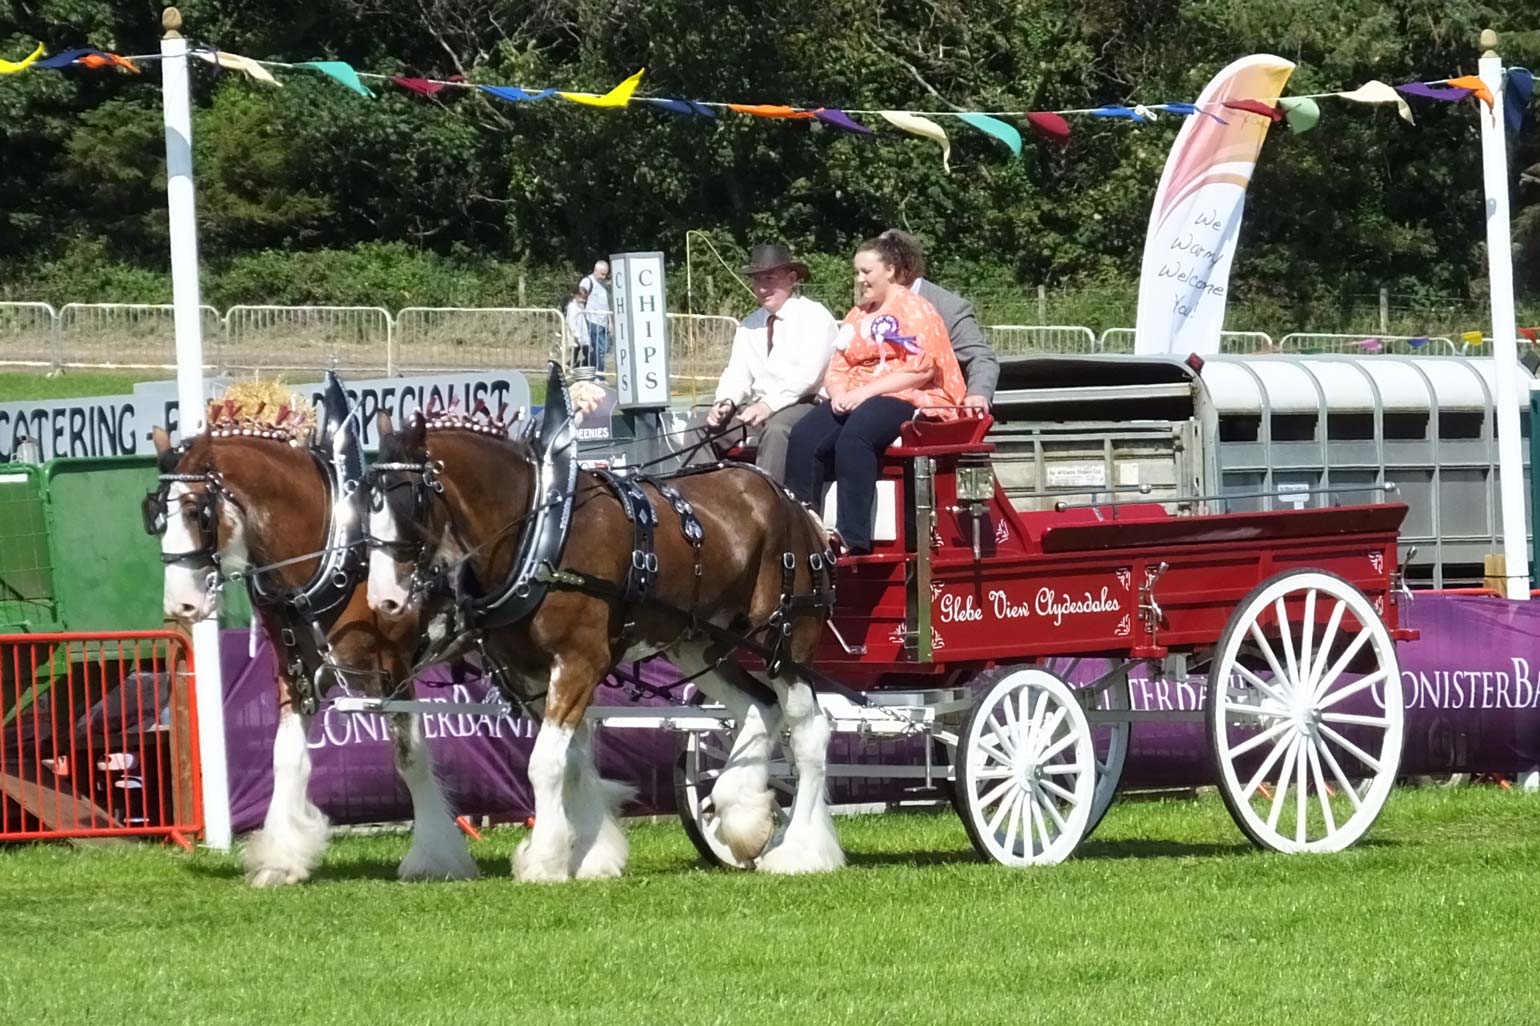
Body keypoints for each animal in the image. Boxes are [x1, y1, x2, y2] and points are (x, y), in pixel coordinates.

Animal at [150, 419, 477, 881]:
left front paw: (434, 857)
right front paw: (280, 859)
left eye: (197, 512)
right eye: (156, 515)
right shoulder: (296, 670)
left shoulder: (392, 671)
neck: (335, 552)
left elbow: (409, 758)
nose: (180, 606)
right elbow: (285, 757)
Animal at [368, 409, 850, 881]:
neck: (542, 538)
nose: (382, 601)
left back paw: (801, 850)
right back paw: (743, 817)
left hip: (786, 640)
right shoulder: (528, 676)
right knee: (758, 706)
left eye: (406, 498)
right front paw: (590, 854)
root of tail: (791, 501)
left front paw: (545, 860)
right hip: (699, 642)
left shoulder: (580, 661)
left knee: (808, 730)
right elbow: (571, 761)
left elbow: (545, 763)